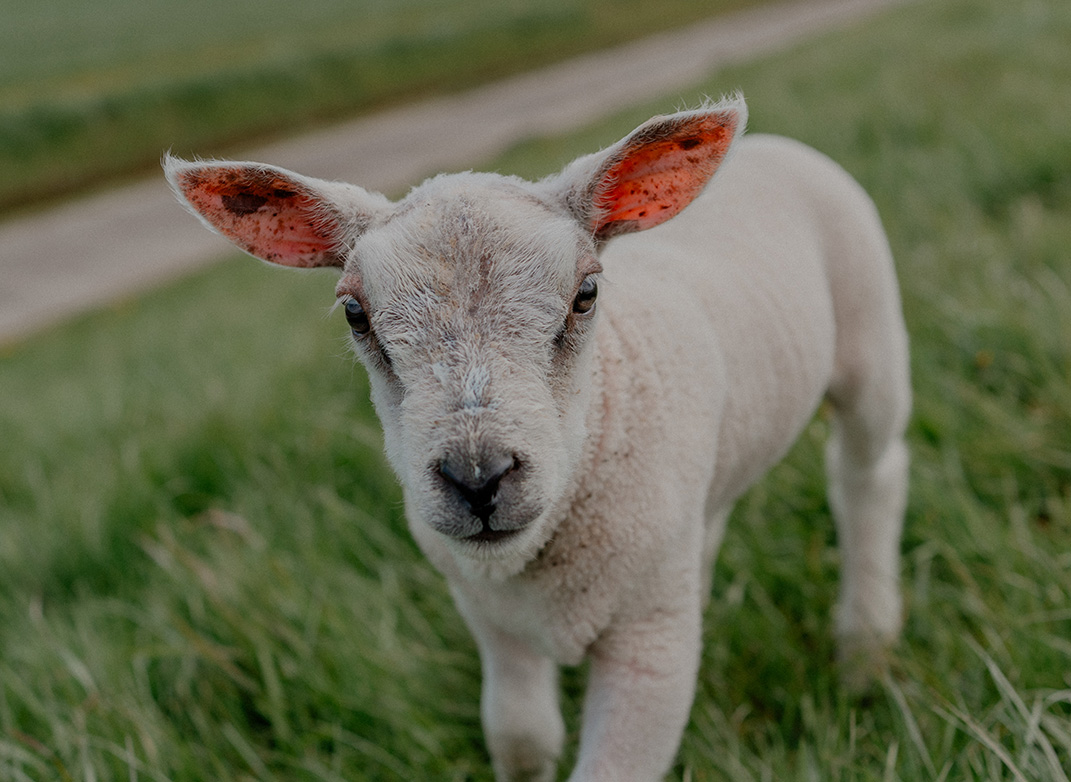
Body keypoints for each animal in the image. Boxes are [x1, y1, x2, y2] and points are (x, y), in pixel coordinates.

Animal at [162, 95, 908, 779]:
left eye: (586, 295)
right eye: (354, 314)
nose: (478, 480)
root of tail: (769, 145)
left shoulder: (649, 650)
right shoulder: (489, 617)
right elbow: (520, 738)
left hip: (870, 334)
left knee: (867, 475)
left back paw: (866, 647)